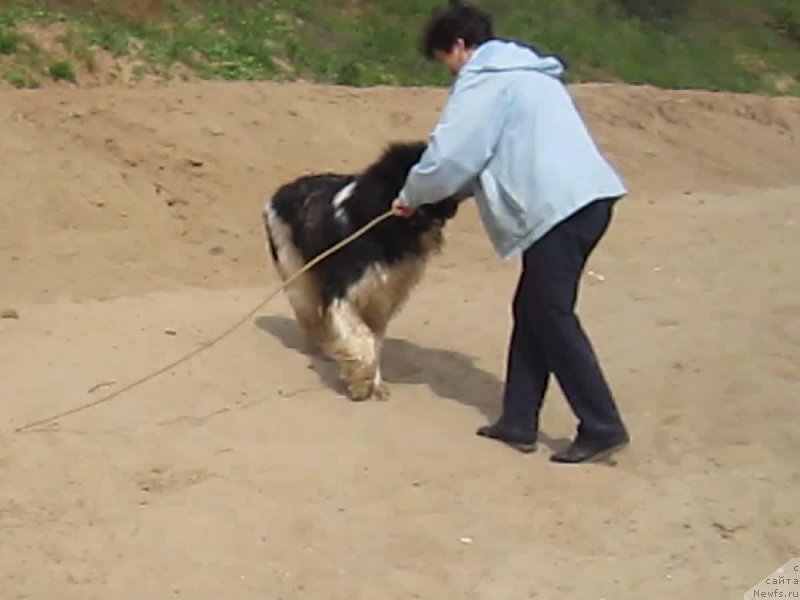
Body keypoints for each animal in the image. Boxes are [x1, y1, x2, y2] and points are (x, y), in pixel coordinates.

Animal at [262, 141, 462, 400]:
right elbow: (362, 337)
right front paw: (360, 380)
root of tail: (280, 192)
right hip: (298, 278)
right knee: (311, 316)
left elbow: (374, 341)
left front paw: (374, 382)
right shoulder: (343, 292)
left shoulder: (382, 299)